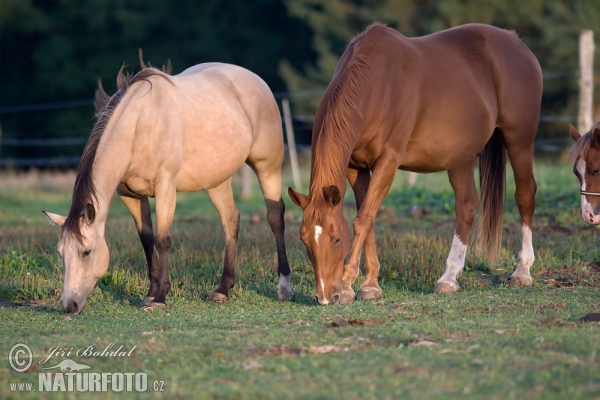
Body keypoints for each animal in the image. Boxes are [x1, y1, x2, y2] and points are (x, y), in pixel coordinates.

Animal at [42, 61, 296, 312]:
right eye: (60, 253)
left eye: (86, 252)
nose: (69, 304)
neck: (139, 126)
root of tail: (255, 79)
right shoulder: (129, 195)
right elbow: (146, 239)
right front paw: (150, 293)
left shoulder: (165, 188)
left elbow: (163, 239)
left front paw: (161, 297)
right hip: (217, 180)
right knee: (230, 220)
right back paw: (223, 289)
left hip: (267, 167)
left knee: (275, 217)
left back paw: (284, 288)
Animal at [288, 23, 540, 304]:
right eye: (305, 241)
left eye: (336, 238)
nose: (324, 297)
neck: (375, 86)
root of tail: (515, 42)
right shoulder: (355, 168)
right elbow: (368, 218)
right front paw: (370, 285)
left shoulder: (388, 161)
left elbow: (363, 219)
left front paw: (347, 285)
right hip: (460, 158)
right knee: (466, 205)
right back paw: (449, 278)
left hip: (519, 141)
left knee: (525, 196)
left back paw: (523, 271)